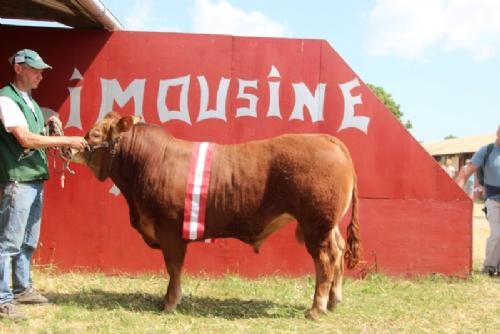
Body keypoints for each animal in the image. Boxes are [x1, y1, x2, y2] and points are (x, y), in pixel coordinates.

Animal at [71, 111, 360, 320]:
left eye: (95, 134)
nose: (71, 148)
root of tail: (326, 139)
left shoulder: (169, 230)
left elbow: (173, 267)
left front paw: (169, 302)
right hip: (328, 225)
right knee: (337, 252)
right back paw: (334, 300)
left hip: (315, 224)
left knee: (325, 260)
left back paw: (317, 308)